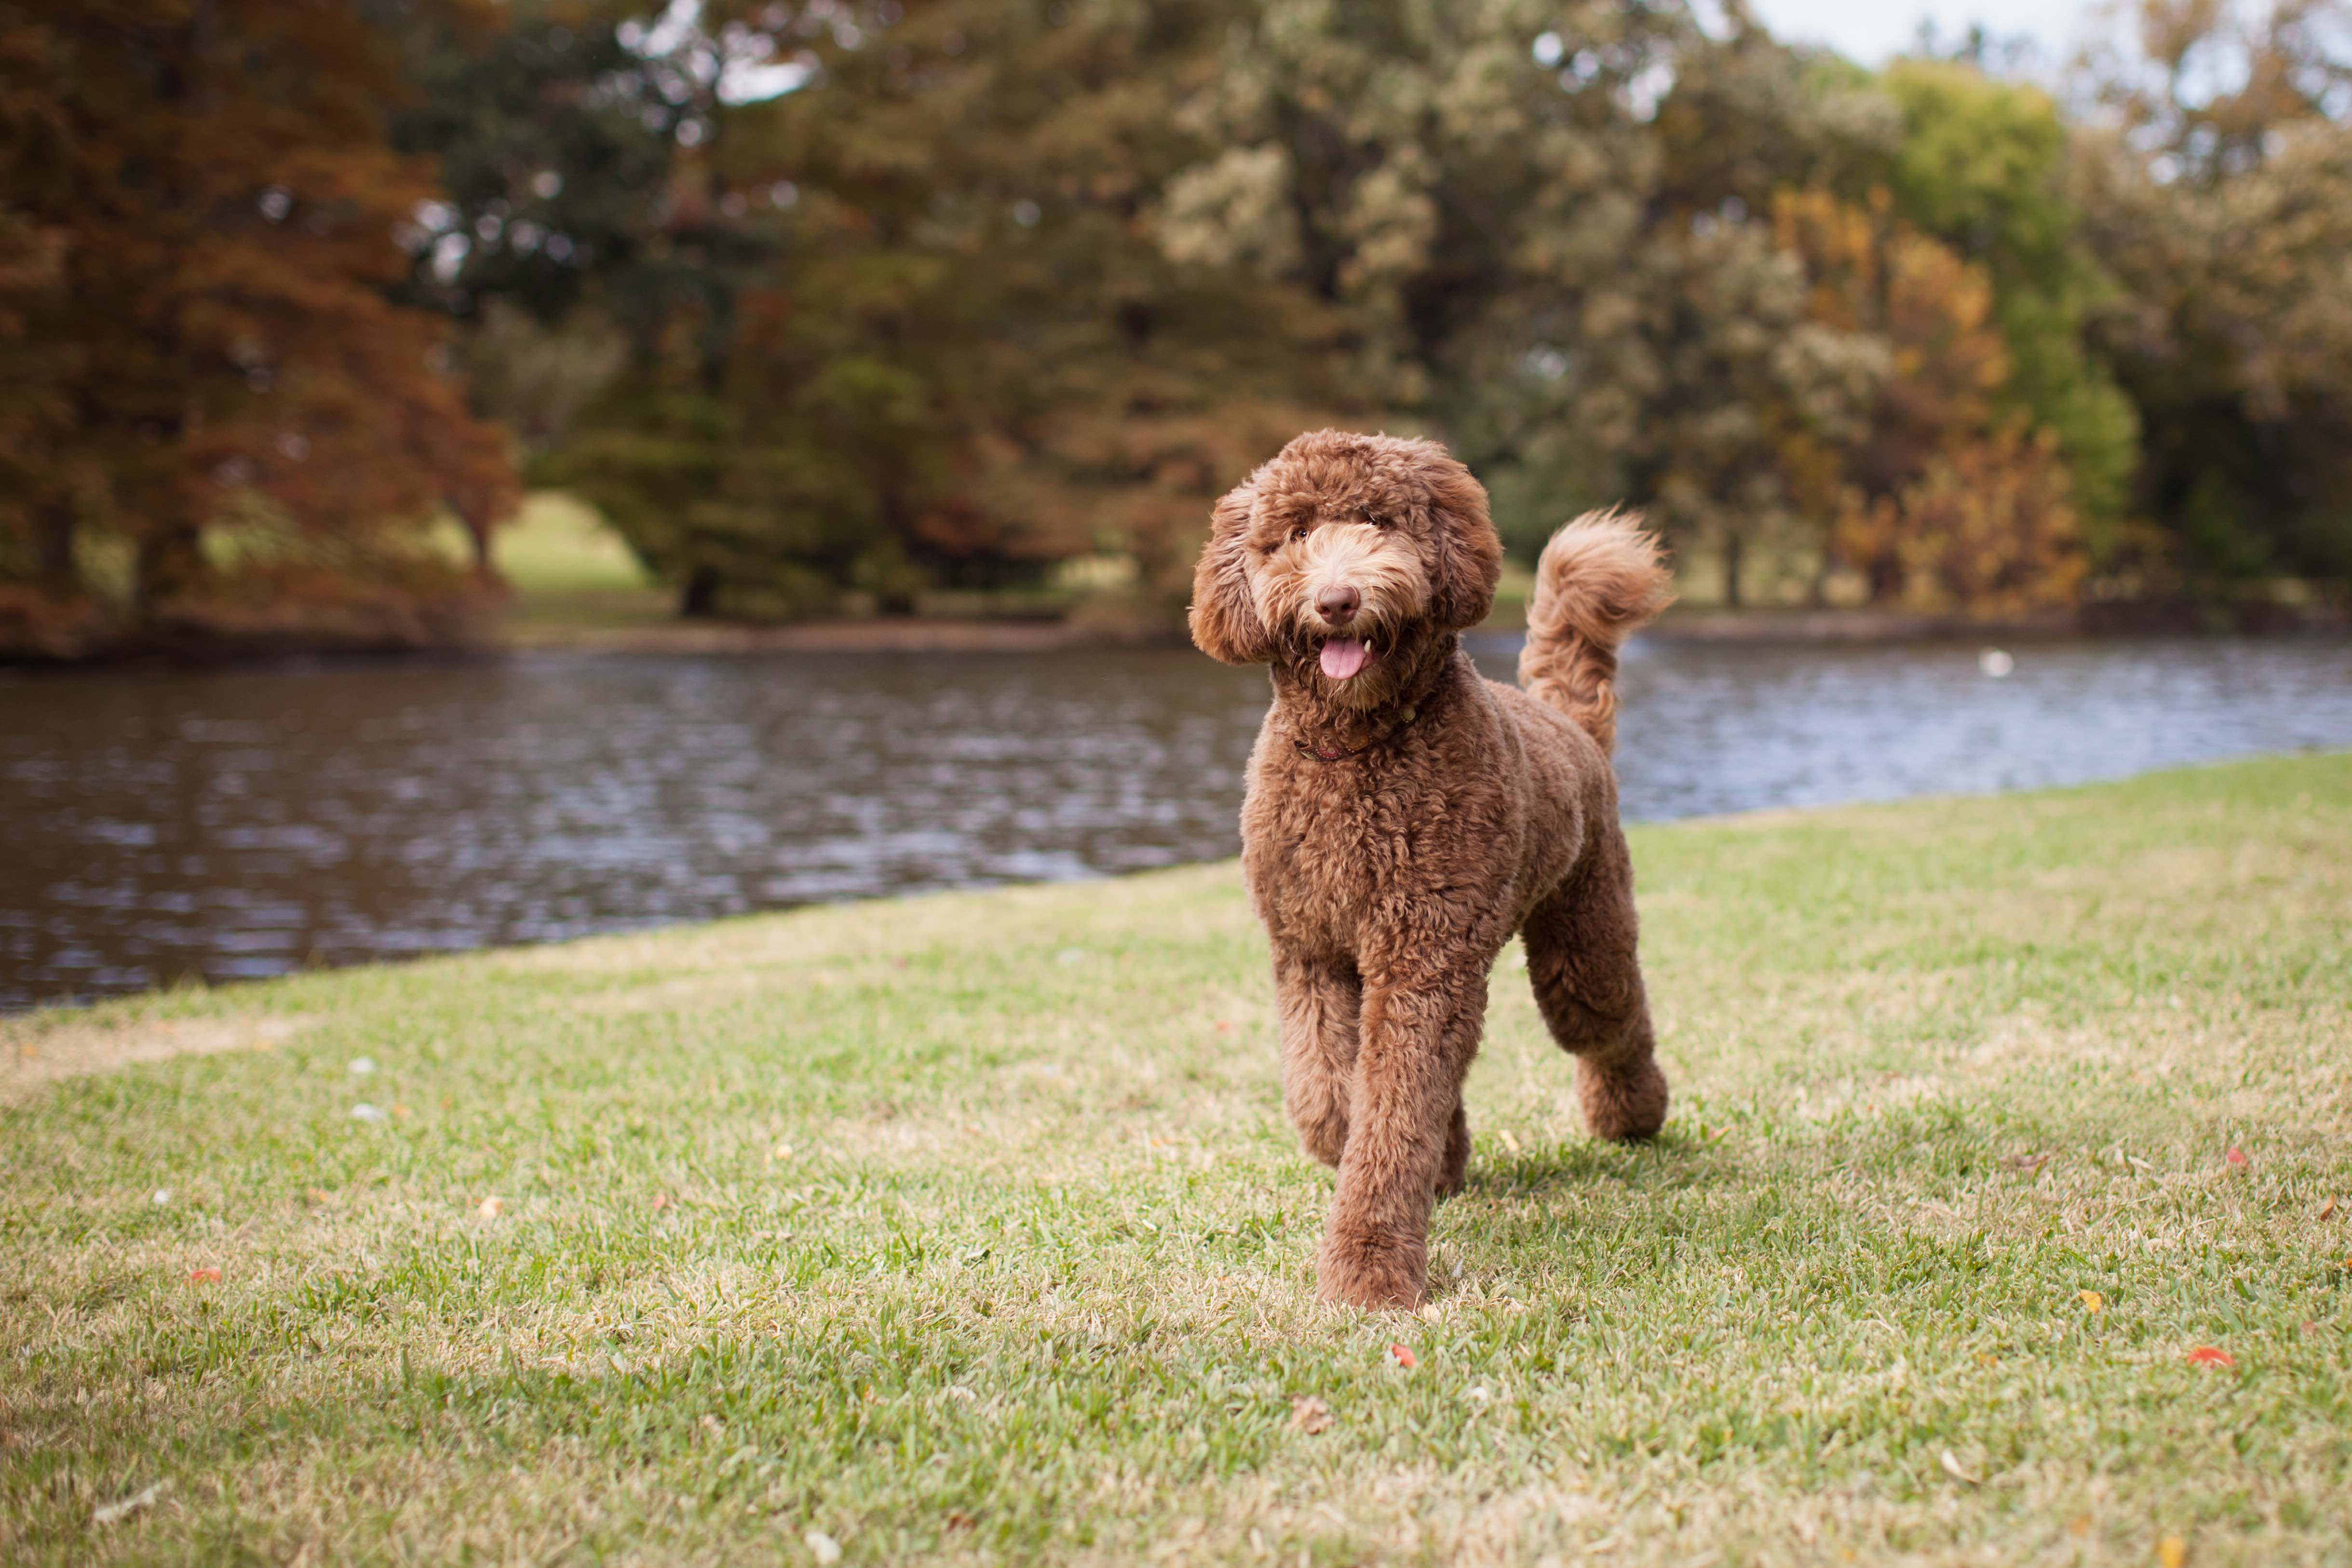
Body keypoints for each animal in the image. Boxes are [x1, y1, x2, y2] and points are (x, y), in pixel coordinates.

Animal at [1195, 425, 1675, 1316]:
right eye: (1293, 534)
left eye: (1379, 521)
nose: (1337, 600)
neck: (1355, 752)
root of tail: (1566, 722)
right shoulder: (1309, 950)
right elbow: (1331, 1093)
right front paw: (1411, 1155)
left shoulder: (1422, 954)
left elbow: (1390, 1115)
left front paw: (1369, 1270)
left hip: (1580, 938)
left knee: (1607, 1023)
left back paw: (1634, 1115)